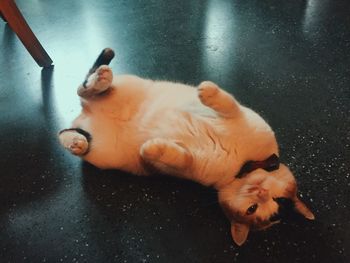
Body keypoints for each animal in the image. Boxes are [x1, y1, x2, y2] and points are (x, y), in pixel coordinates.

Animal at [58, 48, 314, 246]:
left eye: (253, 210)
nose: (261, 193)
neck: (237, 166)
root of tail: (86, 115)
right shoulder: (246, 118)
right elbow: (229, 104)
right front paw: (208, 91)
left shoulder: (183, 166)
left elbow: (179, 157)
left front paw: (153, 148)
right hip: (127, 86)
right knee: (84, 88)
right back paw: (101, 77)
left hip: (101, 154)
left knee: (73, 130)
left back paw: (76, 141)